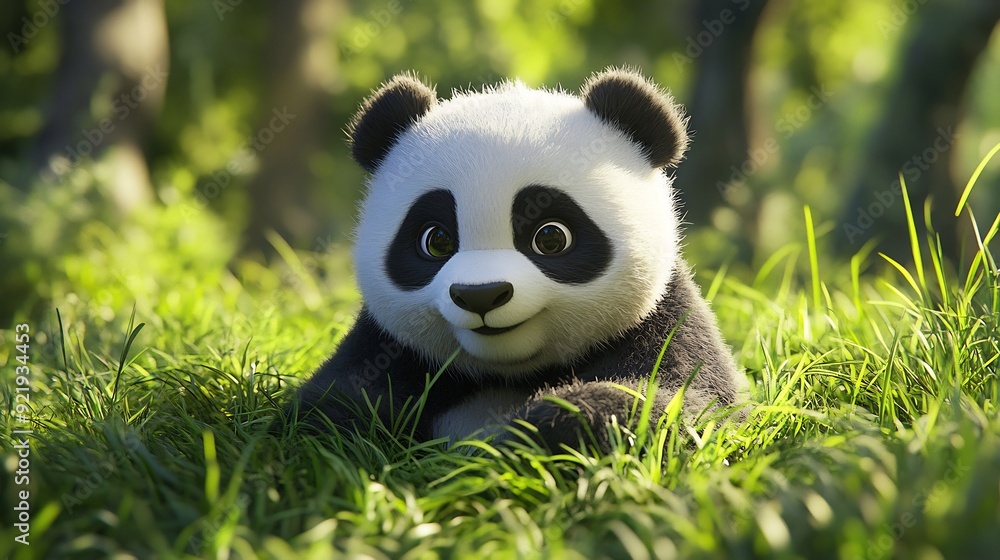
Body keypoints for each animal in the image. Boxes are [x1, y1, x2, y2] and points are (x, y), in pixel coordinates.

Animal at [290, 67, 747, 452]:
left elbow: (683, 401)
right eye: (436, 241)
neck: (510, 370)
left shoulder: (665, 319)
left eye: (551, 237)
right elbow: (334, 402)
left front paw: (552, 424)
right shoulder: (387, 343)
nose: (481, 295)